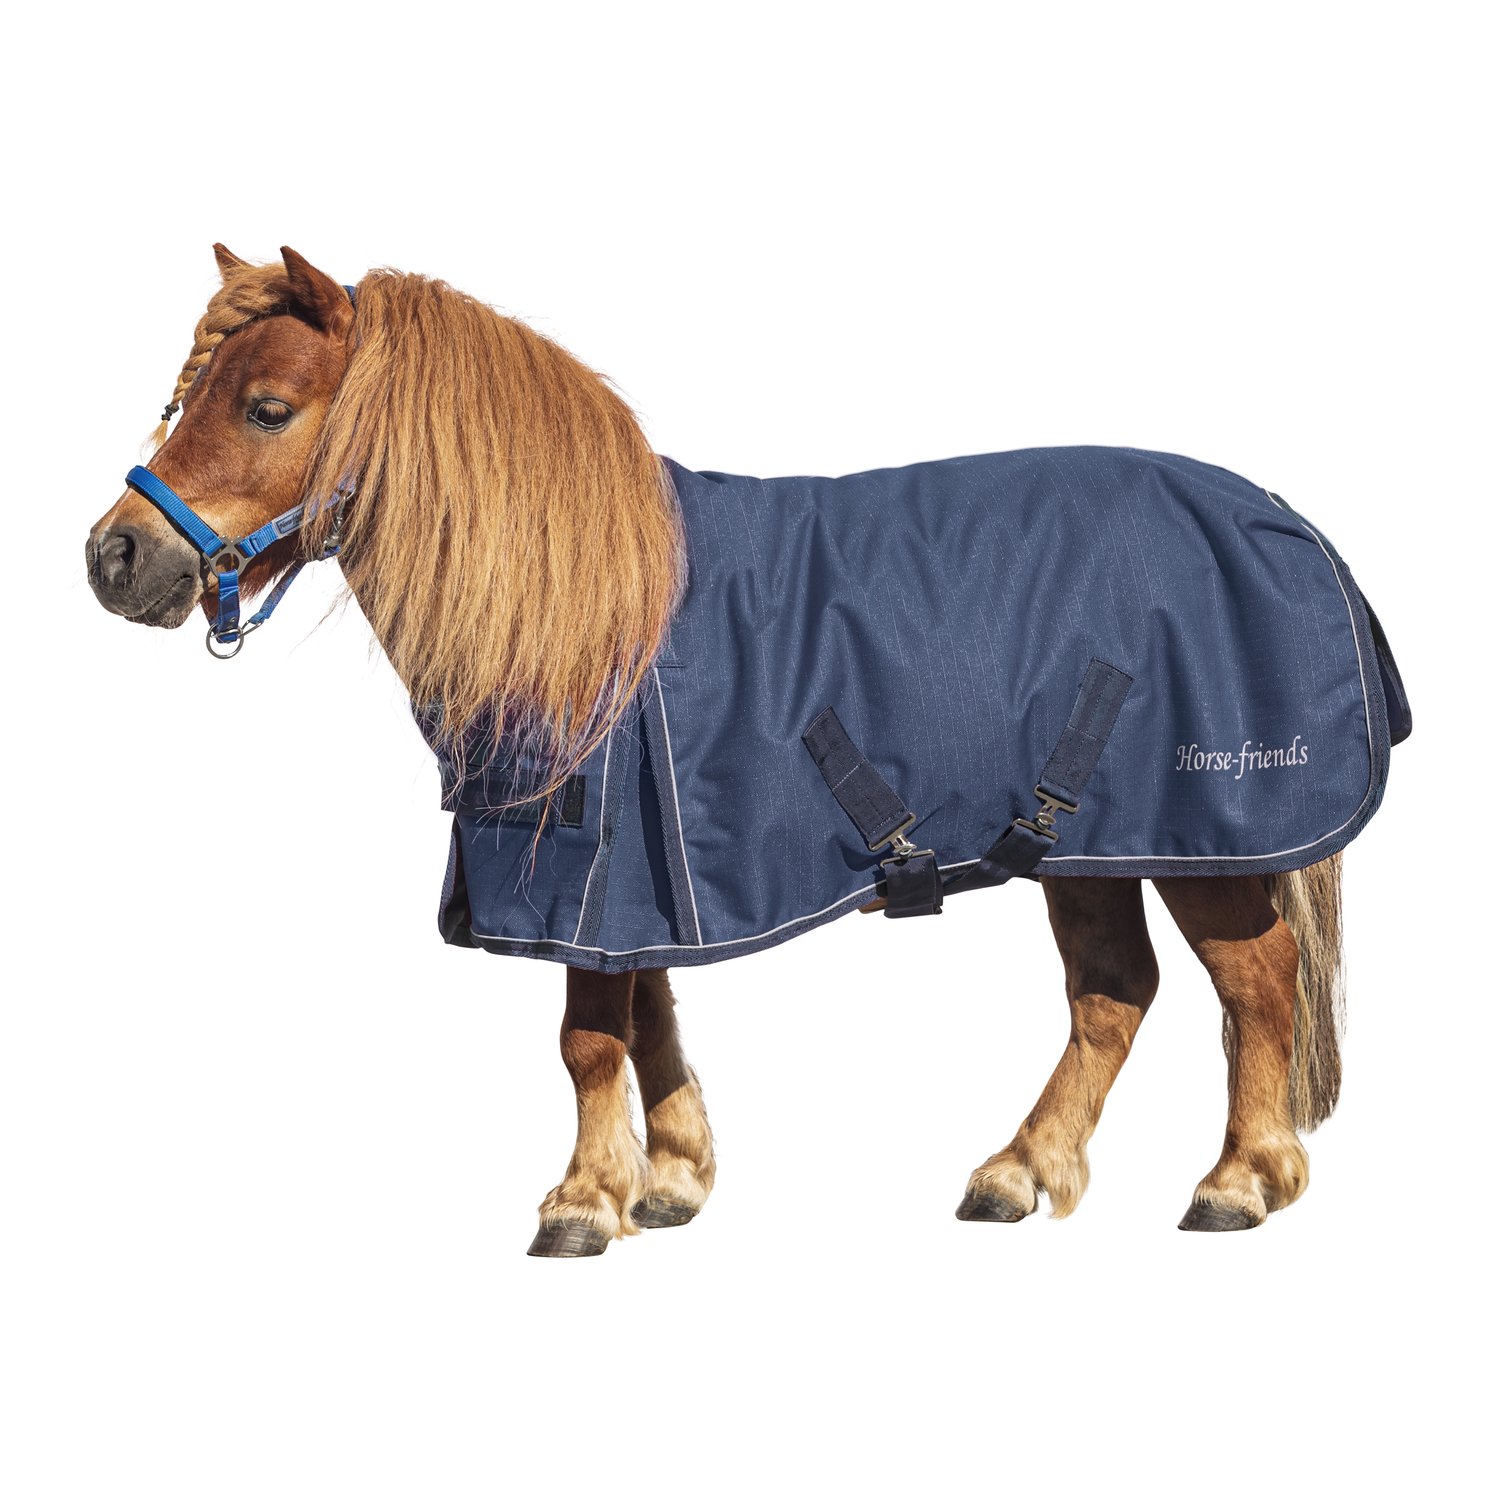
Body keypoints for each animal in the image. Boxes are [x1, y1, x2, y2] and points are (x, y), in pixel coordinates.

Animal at [86, 245, 1400, 1255]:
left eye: (266, 408)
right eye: (187, 395)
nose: (115, 558)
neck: (588, 605)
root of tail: (1283, 521)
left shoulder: (593, 870)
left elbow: (589, 1035)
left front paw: (582, 1204)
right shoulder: (643, 883)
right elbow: (652, 1014)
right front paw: (668, 1181)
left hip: (1200, 834)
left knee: (1257, 981)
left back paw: (1239, 1182)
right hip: (1081, 845)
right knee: (1113, 995)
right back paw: (1018, 1172)